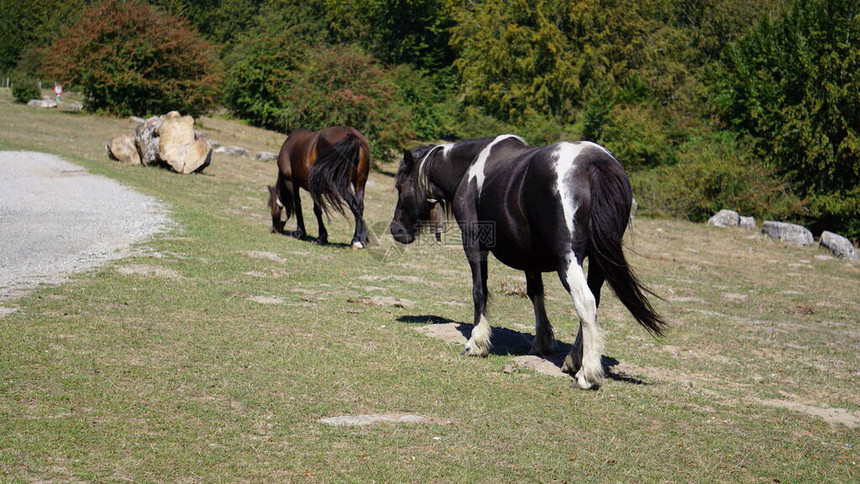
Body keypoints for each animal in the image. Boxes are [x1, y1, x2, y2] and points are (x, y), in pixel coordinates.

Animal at [390, 135, 664, 390]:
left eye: (400, 186)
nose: (396, 230)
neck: (469, 167)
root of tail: (594, 163)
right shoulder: (529, 259)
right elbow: (536, 294)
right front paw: (541, 342)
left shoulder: (474, 243)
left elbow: (479, 290)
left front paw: (476, 343)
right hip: (598, 263)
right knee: (592, 302)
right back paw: (574, 360)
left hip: (569, 261)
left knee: (585, 302)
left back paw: (586, 375)